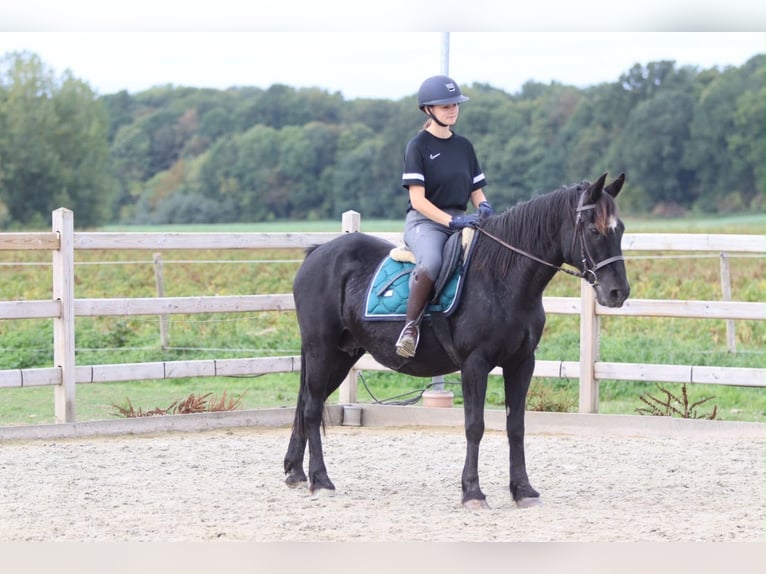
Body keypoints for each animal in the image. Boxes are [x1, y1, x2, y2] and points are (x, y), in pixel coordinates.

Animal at [283, 172, 630, 509]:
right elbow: (474, 426)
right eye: (593, 229)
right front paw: (473, 492)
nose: (618, 292)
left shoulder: (521, 363)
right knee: (312, 407)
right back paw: (320, 480)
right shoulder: (475, 364)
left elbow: (516, 426)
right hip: (321, 350)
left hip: (343, 355)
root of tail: (318, 253)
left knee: (306, 402)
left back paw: (296, 472)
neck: (502, 277)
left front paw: (523, 490)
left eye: (621, 229)